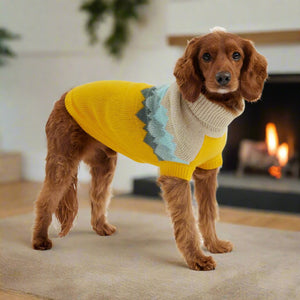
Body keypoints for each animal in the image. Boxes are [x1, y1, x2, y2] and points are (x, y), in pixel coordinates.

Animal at [32, 28, 268, 270]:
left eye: (236, 55)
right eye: (206, 56)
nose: (223, 78)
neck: (205, 110)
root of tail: (65, 96)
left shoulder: (207, 172)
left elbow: (208, 212)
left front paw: (213, 244)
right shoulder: (176, 173)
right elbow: (187, 220)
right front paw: (196, 258)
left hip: (104, 163)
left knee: (97, 195)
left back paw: (101, 227)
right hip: (63, 161)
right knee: (45, 200)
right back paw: (40, 240)